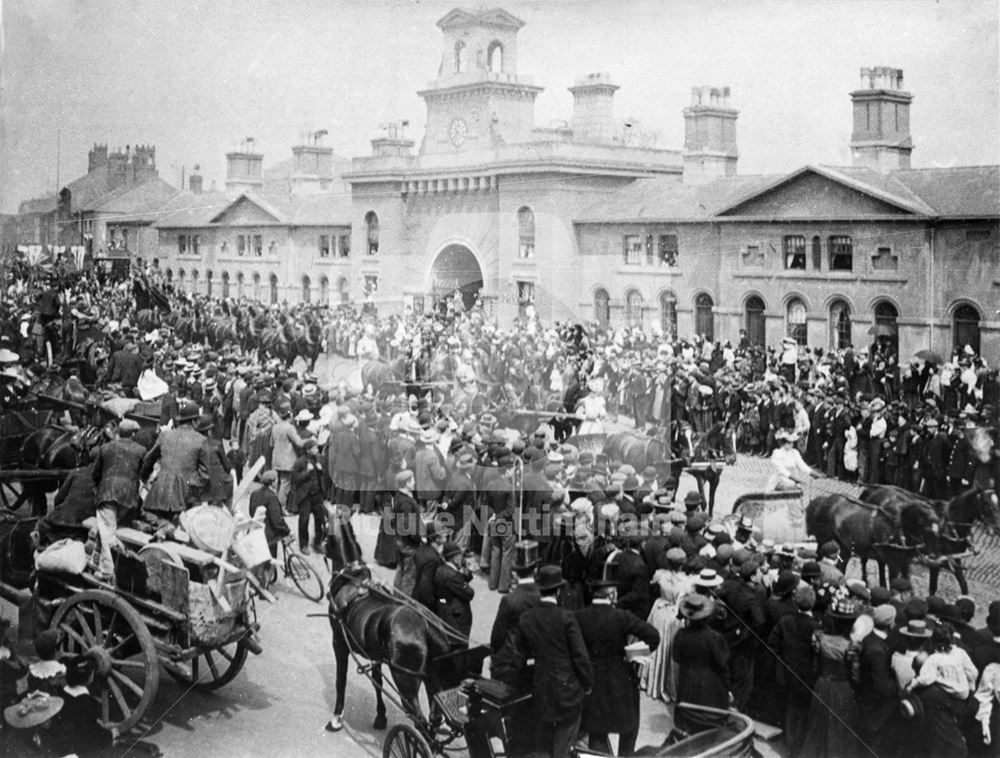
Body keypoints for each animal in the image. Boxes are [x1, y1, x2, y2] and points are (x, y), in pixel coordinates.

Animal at [324, 508, 446, 732]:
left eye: (324, 525)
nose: (320, 546)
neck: (351, 579)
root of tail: (425, 625)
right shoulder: (376, 656)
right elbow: (377, 682)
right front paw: (380, 717)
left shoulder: (338, 643)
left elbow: (340, 679)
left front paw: (337, 717)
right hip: (433, 679)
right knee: (434, 717)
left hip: (405, 680)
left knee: (420, 721)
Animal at [800, 492, 940, 588]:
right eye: (924, 526)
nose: (933, 555)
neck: (896, 528)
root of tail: (824, 500)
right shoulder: (893, 563)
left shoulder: (902, 562)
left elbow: (901, 582)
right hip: (824, 539)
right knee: (819, 556)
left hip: (844, 545)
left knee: (841, 565)